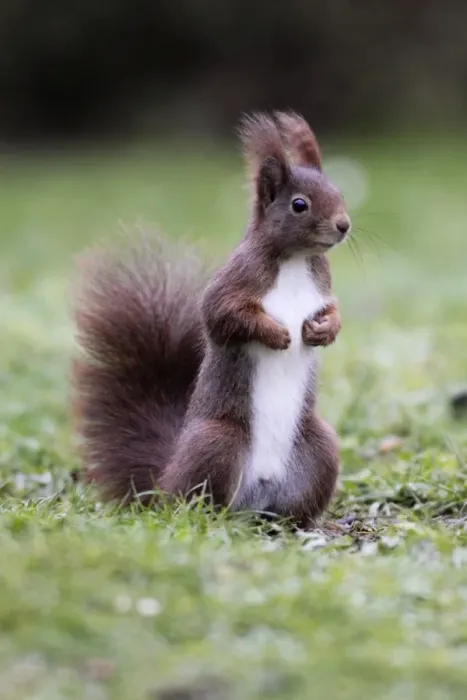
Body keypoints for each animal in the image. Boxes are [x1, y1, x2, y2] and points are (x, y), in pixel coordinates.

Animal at [70, 111, 351, 527]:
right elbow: (222, 316)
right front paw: (275, 334)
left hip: (319, 451)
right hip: (216, 444)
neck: (295, 260)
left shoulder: (322, 289)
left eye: (338, 192)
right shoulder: (233, 283)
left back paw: (299, 524)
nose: (344, 225)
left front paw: (324, 330)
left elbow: (332, 311)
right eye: (299, 204)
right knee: (196, 501)